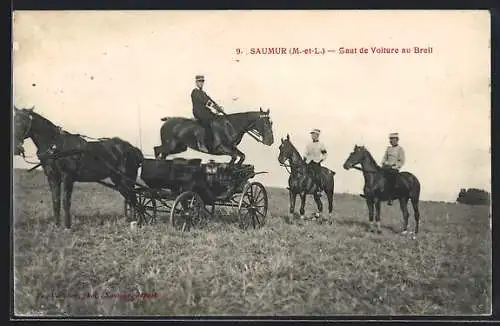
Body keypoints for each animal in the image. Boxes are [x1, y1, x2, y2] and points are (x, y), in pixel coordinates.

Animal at [12, 107, 145, 229]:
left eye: (21, 122)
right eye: (14, 120)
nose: (16, 148)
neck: (55, 146)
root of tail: (133, 149)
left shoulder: (67, 177)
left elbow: (66, 201)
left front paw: (67, 226)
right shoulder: (52, 177)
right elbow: (55, 201)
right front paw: (56, 226)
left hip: (126, 179)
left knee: (134, 199)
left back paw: (136, 223)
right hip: (119, 181)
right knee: (130, 199)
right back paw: (131, 222)